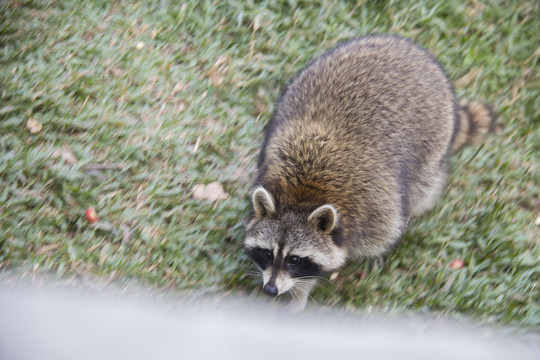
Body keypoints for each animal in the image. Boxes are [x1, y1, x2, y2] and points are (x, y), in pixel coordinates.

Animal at [244, 34, 494, 310]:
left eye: (295, 259)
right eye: (267, 253)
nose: (270, 290)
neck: (303, 194)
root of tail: (407, 47)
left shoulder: (376, 210)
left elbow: (384, 231)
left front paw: (300, 292)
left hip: (435, 144)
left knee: (421, 194)